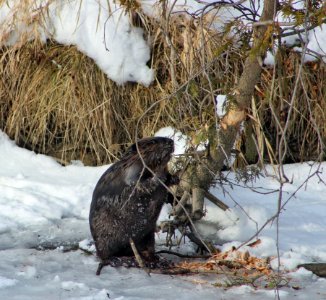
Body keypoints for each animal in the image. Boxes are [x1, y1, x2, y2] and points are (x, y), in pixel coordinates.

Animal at [89, 137, 178, 274]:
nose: (170, 142)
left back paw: (156, 259)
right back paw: (121, 260)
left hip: (147, 236)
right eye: (152, 142)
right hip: (105, 240)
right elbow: (139, 185)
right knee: (105, 256)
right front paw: (158, 176)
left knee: (148, 250)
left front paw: (175, 177)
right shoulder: (131, 171)